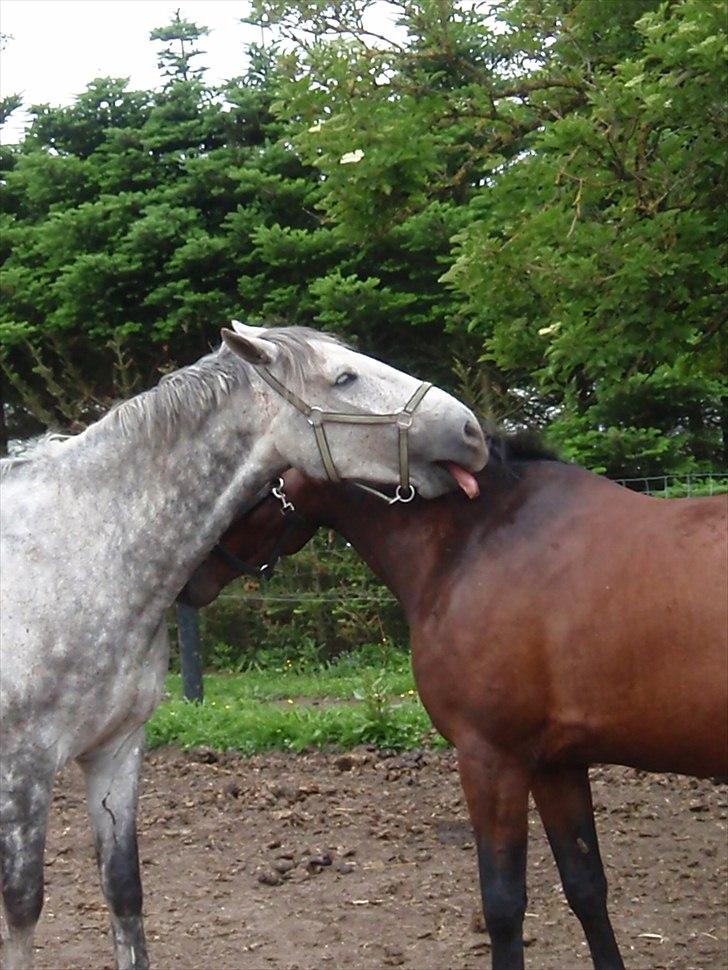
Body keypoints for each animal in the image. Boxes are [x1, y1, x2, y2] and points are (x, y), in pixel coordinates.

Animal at [1, 326, 490, 968]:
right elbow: (22, 908)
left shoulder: (117, 749)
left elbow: (124, 891)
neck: (78, 548)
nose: (472, 433)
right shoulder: (23, 766)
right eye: (344, 378)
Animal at [178, 438, 728, 968]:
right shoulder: (556, 763)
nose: (182, 578)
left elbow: (503, 905)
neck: (476, 541)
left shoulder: (491, 758)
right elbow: (586, 887)